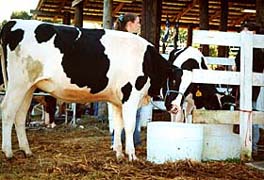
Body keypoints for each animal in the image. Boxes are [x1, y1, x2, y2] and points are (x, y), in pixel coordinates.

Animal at [0, 19, 190, 160]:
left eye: (188, 87)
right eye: (174, 80)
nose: (175, 108)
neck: (147, 60)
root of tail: (13, 23)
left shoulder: (117, 100)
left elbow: (118, 126)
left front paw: (119, 154)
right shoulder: (130, 96)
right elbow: (129, 126)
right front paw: (132, 155)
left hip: (29, 87)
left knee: (20, 115)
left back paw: (26, 150)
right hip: (18, 83)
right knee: (7, 111)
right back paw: (8, 152)